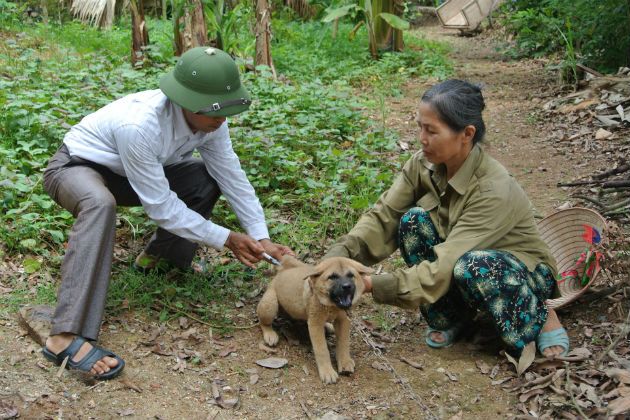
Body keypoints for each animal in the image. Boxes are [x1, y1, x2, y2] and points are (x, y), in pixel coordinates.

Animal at [258, 256, 372, 384]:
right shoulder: (315, 324)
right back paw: (270, 334)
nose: (347, 286)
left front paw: (345, 361)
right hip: (269, 305)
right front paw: (327, 371)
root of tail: (282, 271)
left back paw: (328, 326)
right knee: (263, 322)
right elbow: (322, 350)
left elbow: (343, 343)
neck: (331, 306)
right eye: (332, 277)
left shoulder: (343, 321)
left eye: (351, 275)